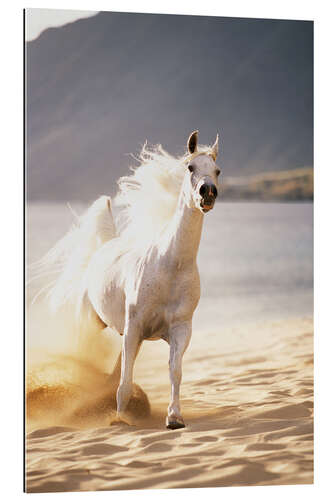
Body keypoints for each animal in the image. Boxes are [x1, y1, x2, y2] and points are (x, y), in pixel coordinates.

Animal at [33, 132, 219, 430]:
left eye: (217, 170)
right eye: (190, 167)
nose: (208, 193)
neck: (170, 266)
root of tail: (105, 246)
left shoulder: (180, 329)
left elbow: (174, 372)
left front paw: (174, 418)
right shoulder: (135, 327)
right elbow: (125, 380)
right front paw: (120, 419)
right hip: (94, 323)